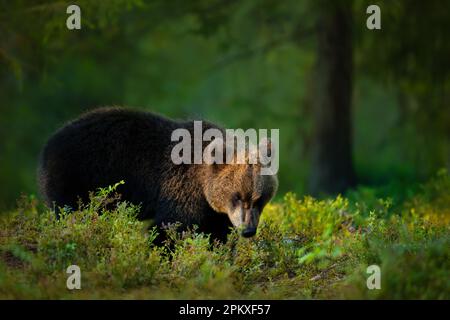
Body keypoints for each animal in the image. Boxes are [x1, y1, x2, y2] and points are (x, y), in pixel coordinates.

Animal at [37, 107, 278, 242]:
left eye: (259, 198)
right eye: (237, 196)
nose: (248, 230)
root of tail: (49, 142)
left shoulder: (214, 211)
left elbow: (217, 233)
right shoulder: (180, 189)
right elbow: (170, 228)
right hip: (79, 174)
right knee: (70, 210)